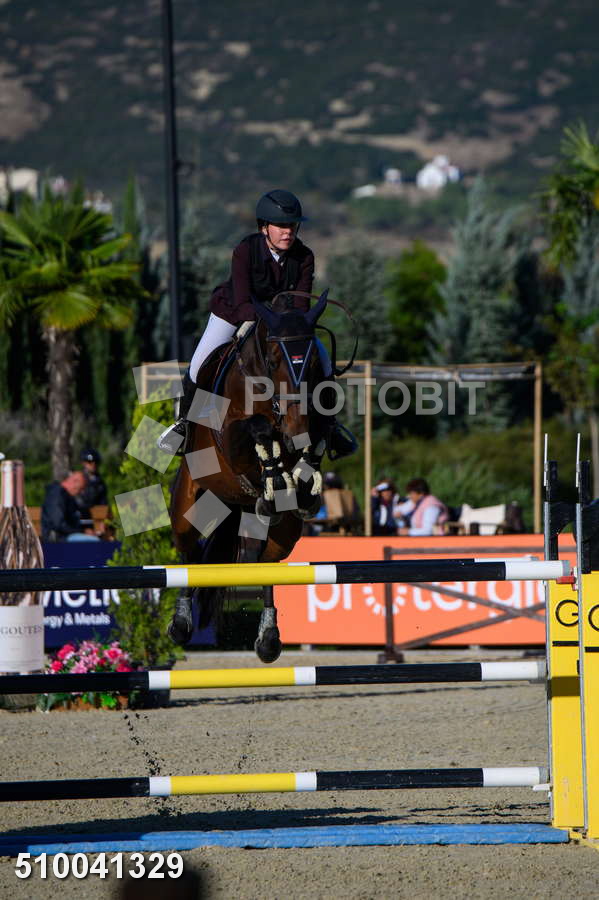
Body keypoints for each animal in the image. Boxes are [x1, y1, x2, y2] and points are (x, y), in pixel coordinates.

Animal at [168, 290, 334, 662]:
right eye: (272, 361)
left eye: (314, 364)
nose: (295, 429)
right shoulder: (230, 439)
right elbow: (257, 430)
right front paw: (276, 472)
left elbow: (318, 435)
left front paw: (300, 479)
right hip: (190, 500)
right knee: (188, 554)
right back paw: (181, 625)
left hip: (284, 533)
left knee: (265, 565)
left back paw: (269, 639)